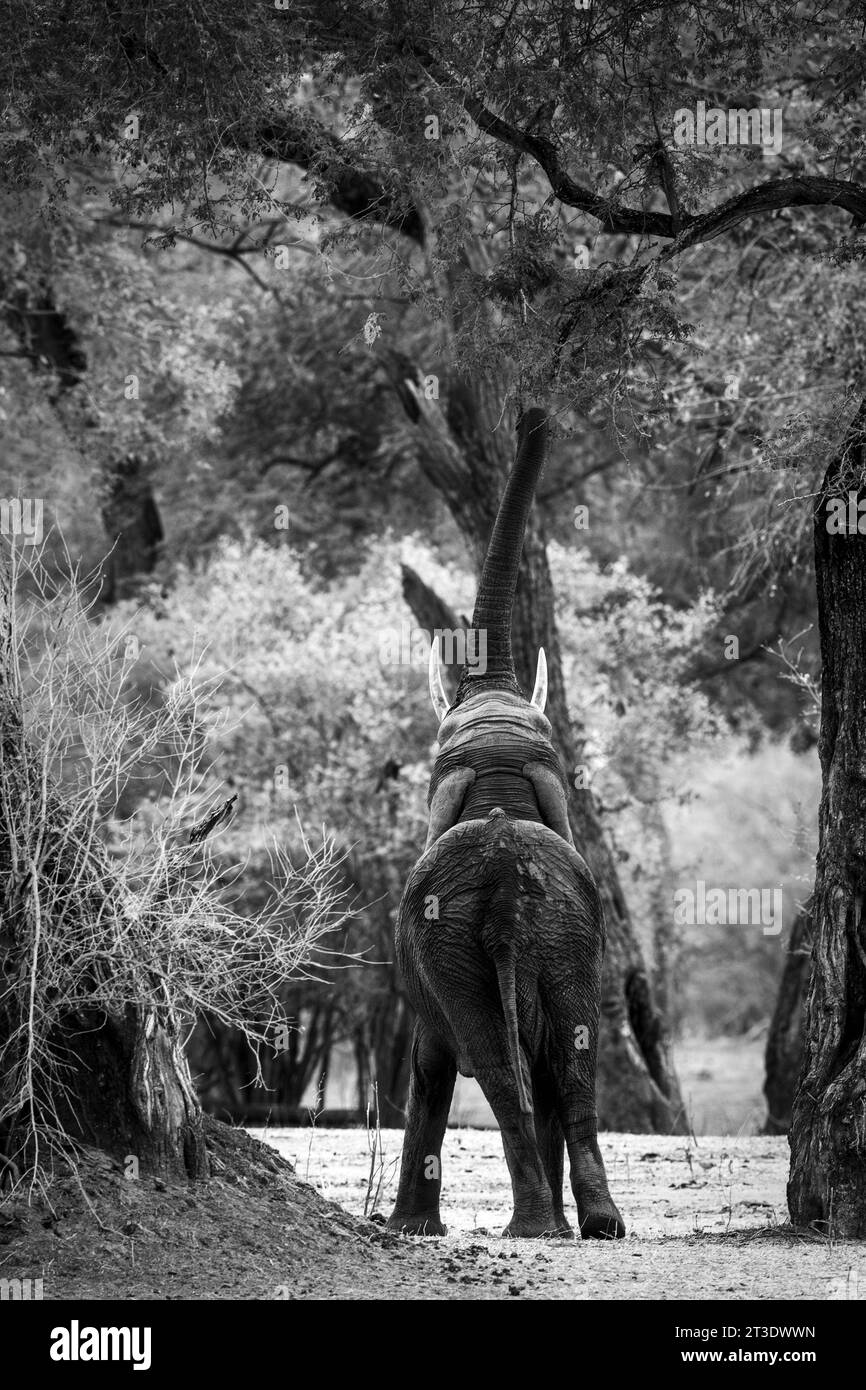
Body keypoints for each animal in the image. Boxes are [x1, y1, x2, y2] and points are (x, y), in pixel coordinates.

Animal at [389, 405, 625, 1245]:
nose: (534, 414)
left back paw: (534, 1230)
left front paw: (408, 1231)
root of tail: (508, 887)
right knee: (573, 1062)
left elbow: (428, 1068)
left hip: (461, 941)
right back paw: (594, 1227)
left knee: (495, 1063)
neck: (497, 780)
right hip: (565, 936)